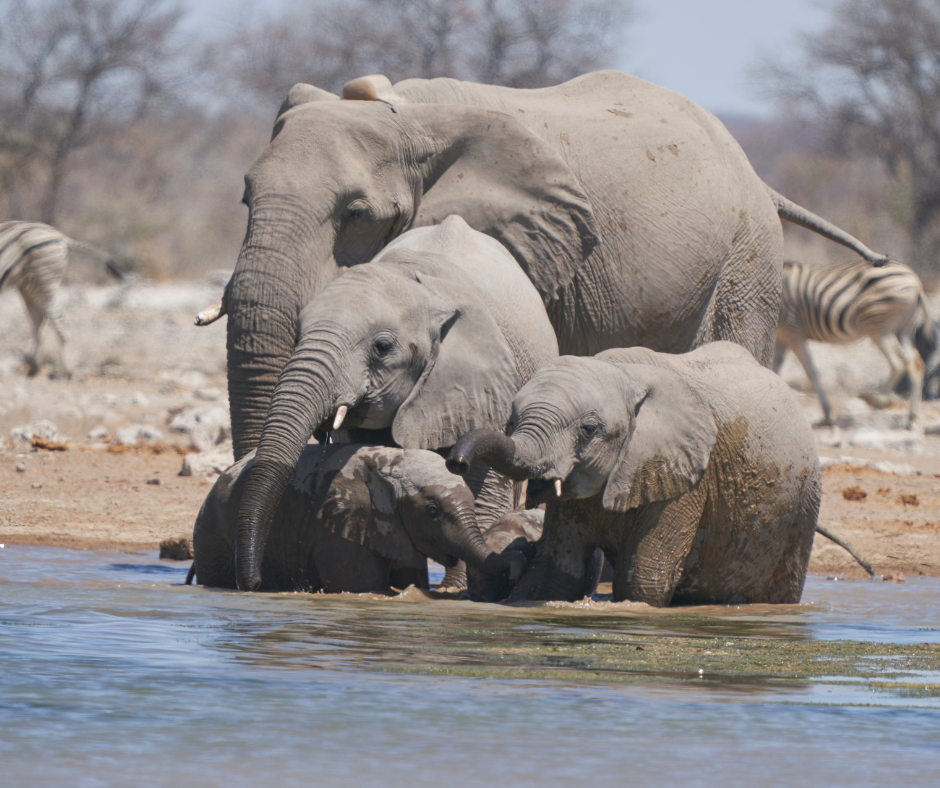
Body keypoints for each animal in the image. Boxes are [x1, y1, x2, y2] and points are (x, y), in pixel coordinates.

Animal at [188, 441, 525, 593]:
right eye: (432, 512)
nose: (519, 555)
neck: (392, 461)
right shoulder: (338, 526)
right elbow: (368, 588)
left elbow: (410, 578)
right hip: (213, 536)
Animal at [233, 216, 558, 591]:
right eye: (298, 336)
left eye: (383, 347)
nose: (253, 584)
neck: (417, 282)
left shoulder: (488, 388)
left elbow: (480, 485)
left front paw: (455, 592)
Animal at [448, 341, 821, 606]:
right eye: (511, 422)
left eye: (588, 429)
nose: (456, 463)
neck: (624, 374)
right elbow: (556, 575)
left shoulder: (685, 478)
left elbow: (642, 581)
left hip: (803, 507)